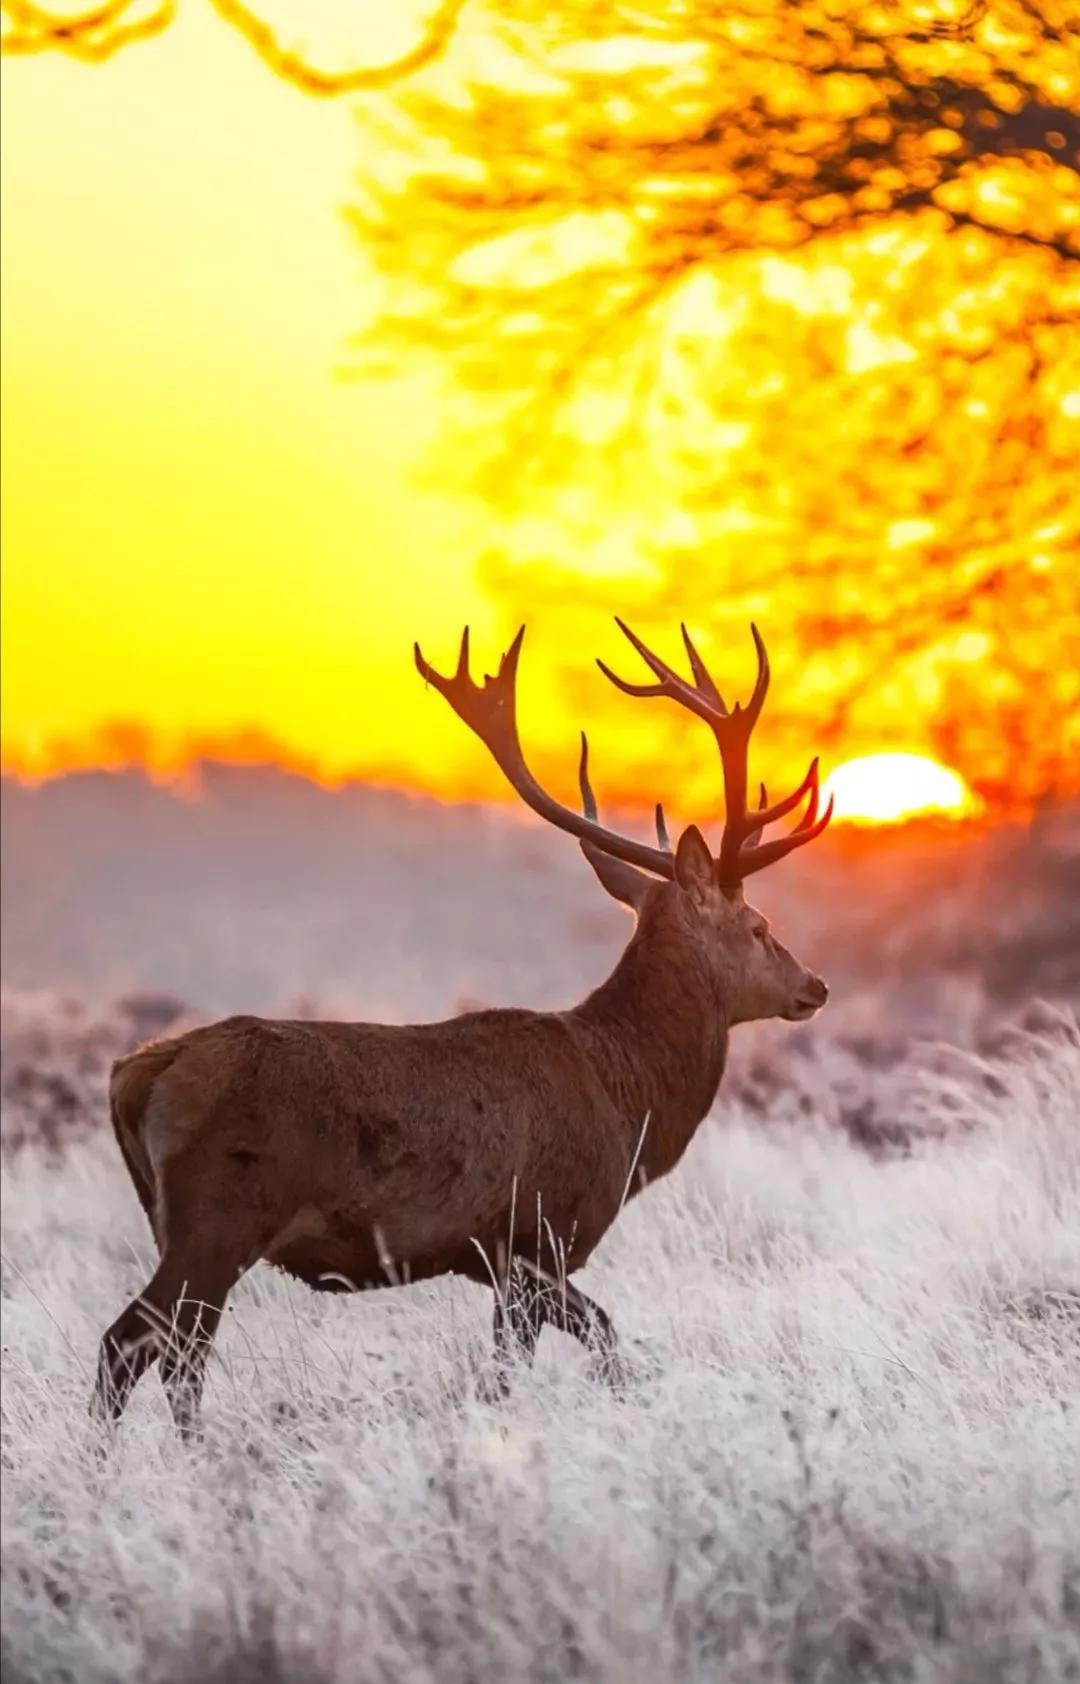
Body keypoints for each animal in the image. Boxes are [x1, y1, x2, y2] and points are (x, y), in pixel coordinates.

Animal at [94, 619, 835, 1434]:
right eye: (760, 927)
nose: (815, 986)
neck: (625, 1099)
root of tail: (136, 1074)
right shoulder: (535, 1236)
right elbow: (591, 1343)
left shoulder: (502, 1258)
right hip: (217, 1220)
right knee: (132, 1344)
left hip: (177, 1223)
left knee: (178, 1354)